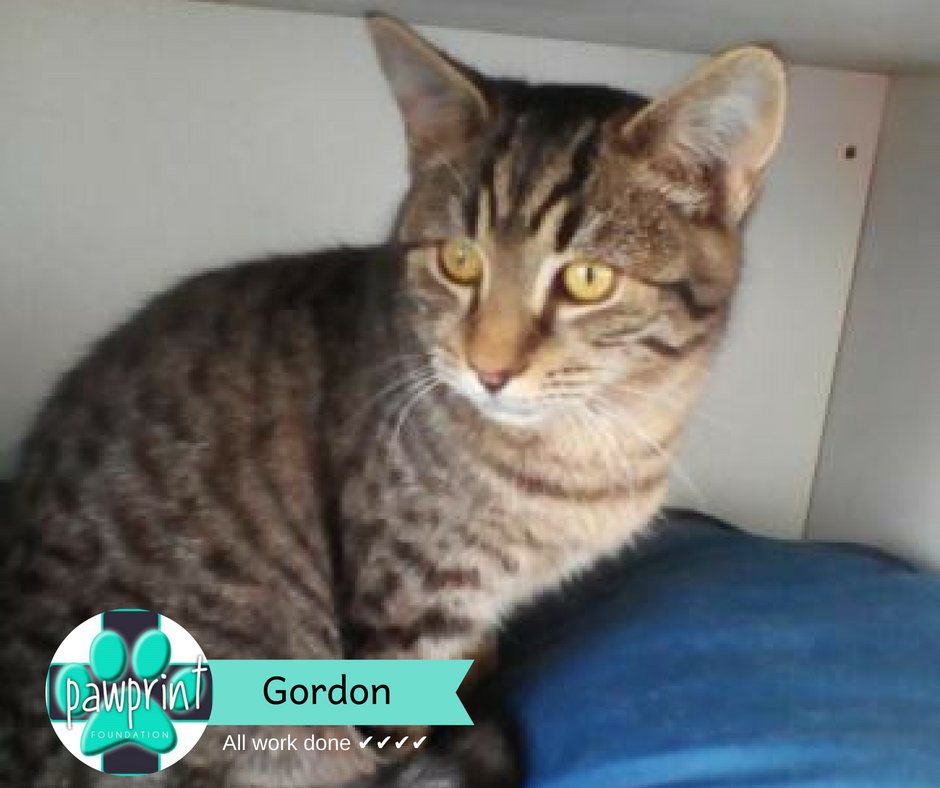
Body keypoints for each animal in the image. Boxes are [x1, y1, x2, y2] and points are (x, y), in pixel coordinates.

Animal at [1, 13, 786, 788]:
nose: (489, 368)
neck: (587, 452)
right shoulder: (407, 613)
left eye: (588, 280)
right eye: (459, 260)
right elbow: (409, 728)